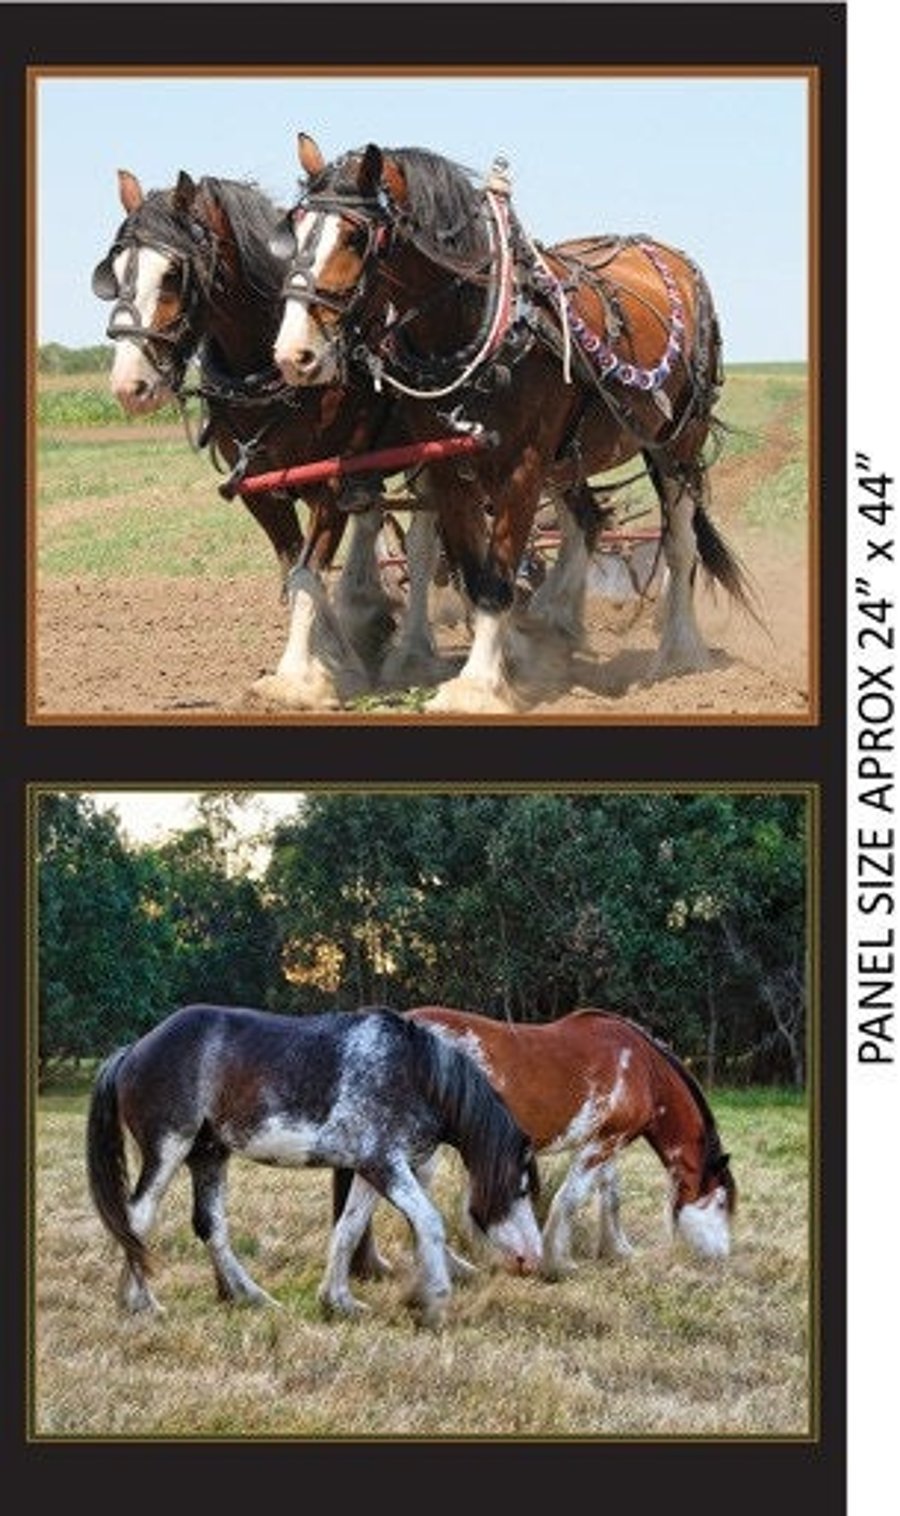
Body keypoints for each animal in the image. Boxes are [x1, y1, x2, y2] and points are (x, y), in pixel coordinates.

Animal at [85, 1003, 542, 1329]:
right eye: (520, 1188)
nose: (533, 1259)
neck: (414, 1074)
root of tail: (133, 1050)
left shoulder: (371, 1169)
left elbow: (348, 1229)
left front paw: (338, 1302)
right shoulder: (385, 1165)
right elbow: (429, 1221)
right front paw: (431, 1302)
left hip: (209, 1154)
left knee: (210, 1226)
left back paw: (252, 1298)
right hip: (168, 1149)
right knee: (137, 1220)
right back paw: (142, 1305)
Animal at [91, 168, 445, 709]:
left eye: (173, 274)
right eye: (117, 269)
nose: (130, 387)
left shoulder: (329, 484)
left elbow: (306, 574)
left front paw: (299, 676)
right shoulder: (259, 489)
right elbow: (294, 571)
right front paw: (337, 657)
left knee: (424, 544)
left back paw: (414, 652)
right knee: (373, 520)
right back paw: (369, 616)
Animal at [273, 133, 759, 713]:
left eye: (354, 236)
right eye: (297, 227)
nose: (293, 355)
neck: (481, 323)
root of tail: (667, 255)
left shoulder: (523, 466)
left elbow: (499, 575)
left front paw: (478, 685)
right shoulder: (448, 467)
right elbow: (472, 571)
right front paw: (500, 663)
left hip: (677, 441)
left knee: (679, 540)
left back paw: (679, 654)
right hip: (572, 455)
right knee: (586, 520)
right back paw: (554, 623)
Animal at [336, 1006, 736, 1285]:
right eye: (719, 1203)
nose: (721, 1257)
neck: (642, 1069)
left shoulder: (608, 1140)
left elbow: (611, 1194)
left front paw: (617, 1250)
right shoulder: (602, 1143)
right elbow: (571, 1198)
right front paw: (556, 1262)